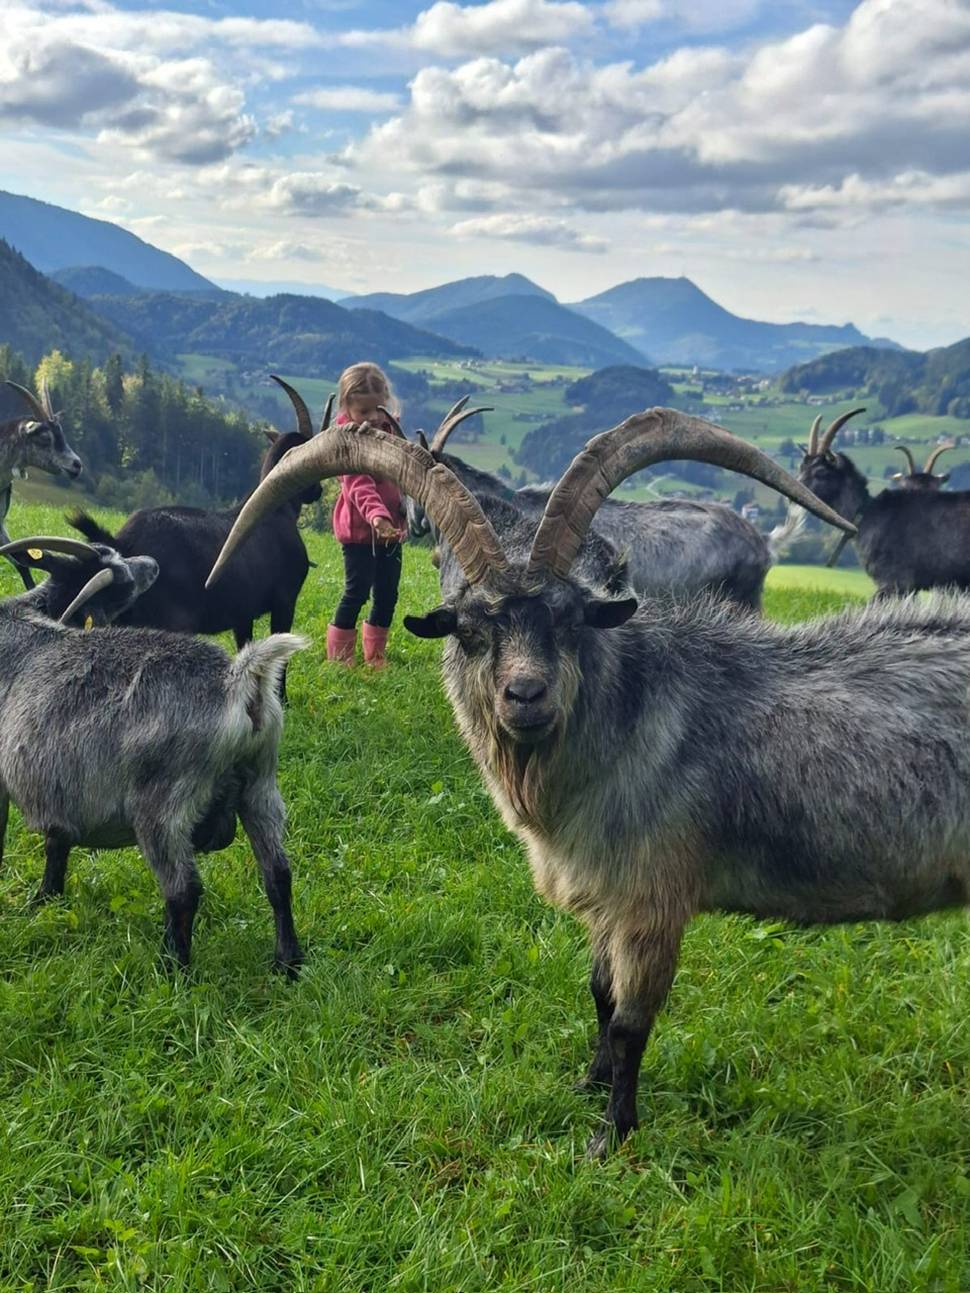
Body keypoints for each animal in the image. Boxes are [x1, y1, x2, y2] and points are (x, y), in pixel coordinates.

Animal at [0, 534, 305, 971]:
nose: (151, 563)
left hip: (162, 806)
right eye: (119, 577)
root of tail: (237, 680)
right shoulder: (58, 789)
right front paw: (47, 899)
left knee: (184, 890)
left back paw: (173, 967)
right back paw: (288, 962)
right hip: (260, 786)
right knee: (278, 873)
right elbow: (57, 841)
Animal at [67, 375, 327, 700]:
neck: (277, 508)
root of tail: (124, 542)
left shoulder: (241, 613)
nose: (318, 491)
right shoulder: (285, 601)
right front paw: (282, 699)